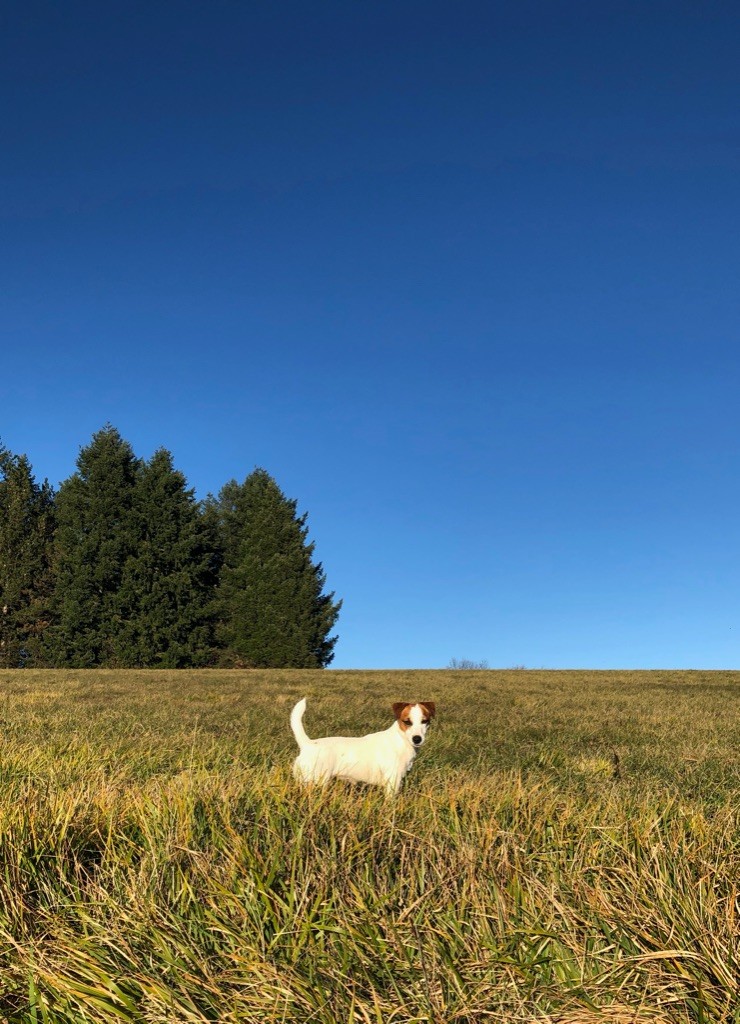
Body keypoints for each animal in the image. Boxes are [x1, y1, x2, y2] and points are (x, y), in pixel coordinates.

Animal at [288, 700, 438, 794]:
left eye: (425, 721)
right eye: (407, 722)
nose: (417, 739)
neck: (401, 739)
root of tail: (307, 744)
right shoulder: (392, 781)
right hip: (315, 781)